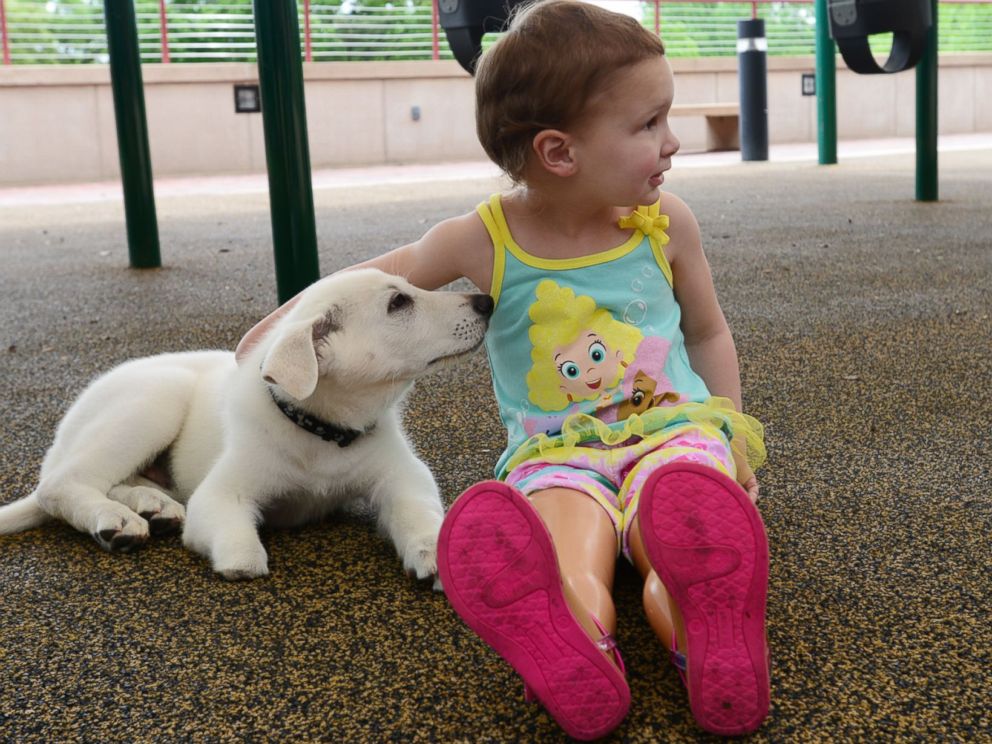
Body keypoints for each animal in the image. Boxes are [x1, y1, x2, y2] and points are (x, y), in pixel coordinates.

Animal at [0, 268, 494, 580]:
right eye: (398, 303)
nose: (486, 301)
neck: (322, 434)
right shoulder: (222, 492)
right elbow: (234, 534)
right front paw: (242, 559)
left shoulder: (404, 476)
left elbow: (417, 510)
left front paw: (432, 549)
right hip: (156, 398)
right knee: (61, 486)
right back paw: (115, 518)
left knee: (119, 480)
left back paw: (152, 506)